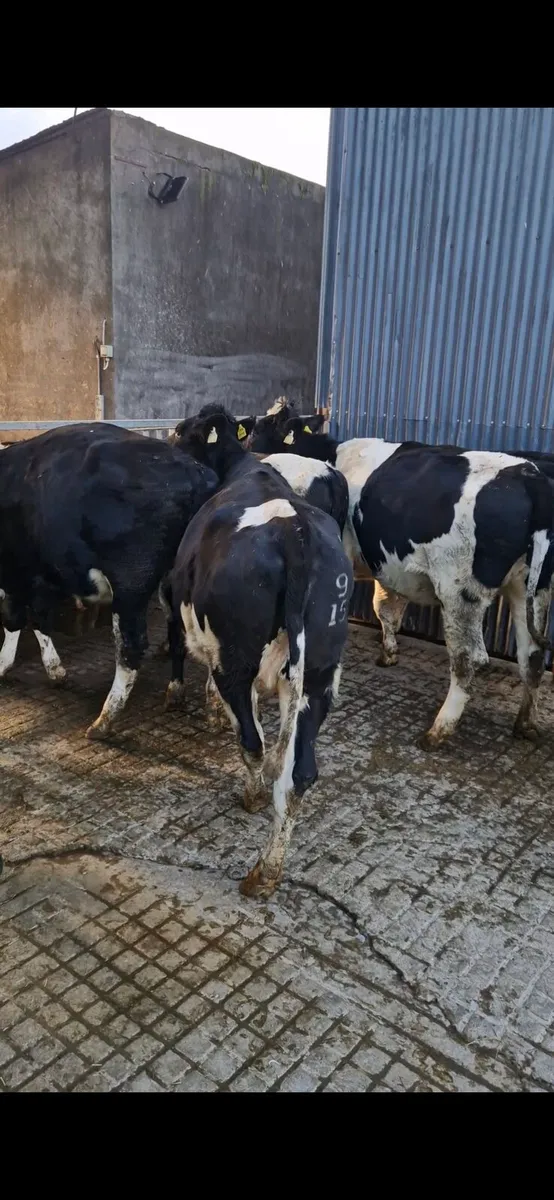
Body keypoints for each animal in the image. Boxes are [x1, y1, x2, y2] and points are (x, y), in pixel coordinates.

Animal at [0, 422, 218, 737]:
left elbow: (14, 619)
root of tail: (196, 472)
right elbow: (38, 618)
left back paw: (104, 721)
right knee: (185, 631)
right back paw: (191, 698)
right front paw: (55, 670)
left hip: (131, 584)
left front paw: (4, 664)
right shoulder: (39, 576)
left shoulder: (15, 571)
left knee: (131, 647)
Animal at [164, 404, 353, 898]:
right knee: (299, 771)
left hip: (239, 659)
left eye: (183, 430)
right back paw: (268, 869)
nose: (170, 444)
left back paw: (253, 803)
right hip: (319, 674)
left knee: (253, 742)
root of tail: (295, 533)